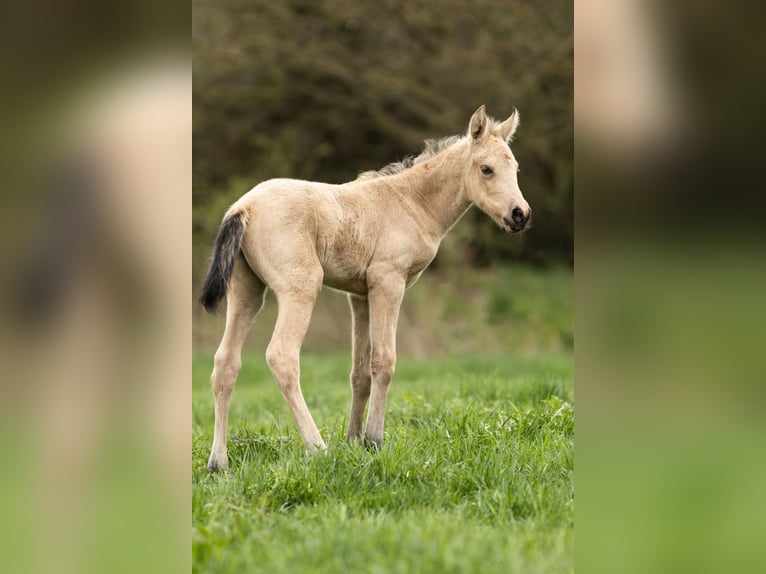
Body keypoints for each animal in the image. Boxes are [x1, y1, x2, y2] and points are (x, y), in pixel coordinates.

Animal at [200, 105, 531, 472]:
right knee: (282, 356)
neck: (413, 202)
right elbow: (384, 362)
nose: (520, 215)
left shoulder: (359, 295)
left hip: (246, 290)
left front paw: (353, 440)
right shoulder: (388, 281)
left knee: (225, 363)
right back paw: (318, 447)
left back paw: (218, 462)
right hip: (300, 287)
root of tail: (242, 208)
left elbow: (360, 371)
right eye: (486, 169)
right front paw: (374, 440)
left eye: (515, 168)